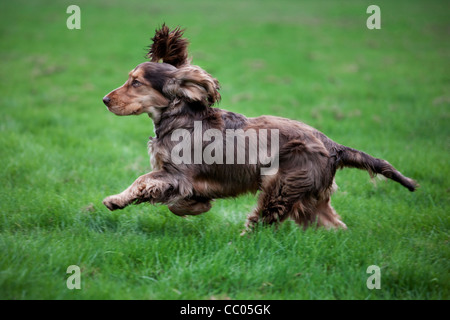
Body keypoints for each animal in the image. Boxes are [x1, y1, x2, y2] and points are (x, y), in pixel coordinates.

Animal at [102, 23, 418, 231]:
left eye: (135, 82)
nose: (105, 100)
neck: (181, 118)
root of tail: (333, 145)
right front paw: (197, 205)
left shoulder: (177, 174)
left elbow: (145, 183)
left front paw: (115, 200)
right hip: (310, 197)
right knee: (334, 225)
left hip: (282, 185)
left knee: (261, 222)